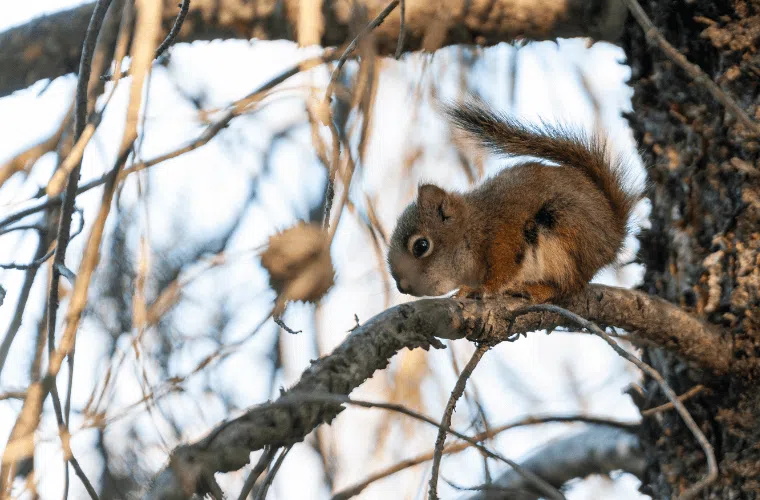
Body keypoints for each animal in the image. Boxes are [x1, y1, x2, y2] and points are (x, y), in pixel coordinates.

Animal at [387, 99, 640, 303]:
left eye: (421, 246)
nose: (402, 286)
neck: (474, 226)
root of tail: (613, 234)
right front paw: (464, 291)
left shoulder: (504, 237)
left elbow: (502, 273)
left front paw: (482, 289)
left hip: (566, 234)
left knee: (568, 286)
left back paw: (536, 290)